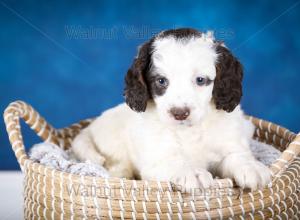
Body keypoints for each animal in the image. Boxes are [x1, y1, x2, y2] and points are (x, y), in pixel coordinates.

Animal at [73, 27, 272, 191]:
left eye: (200, 80)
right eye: (161, 81)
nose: (180, 113)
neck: (189, 131)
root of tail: (89, 128)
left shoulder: (229, 142)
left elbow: (237, 155)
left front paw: (251, 167)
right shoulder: (156, 159)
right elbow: (174, 162)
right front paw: (192, 172)